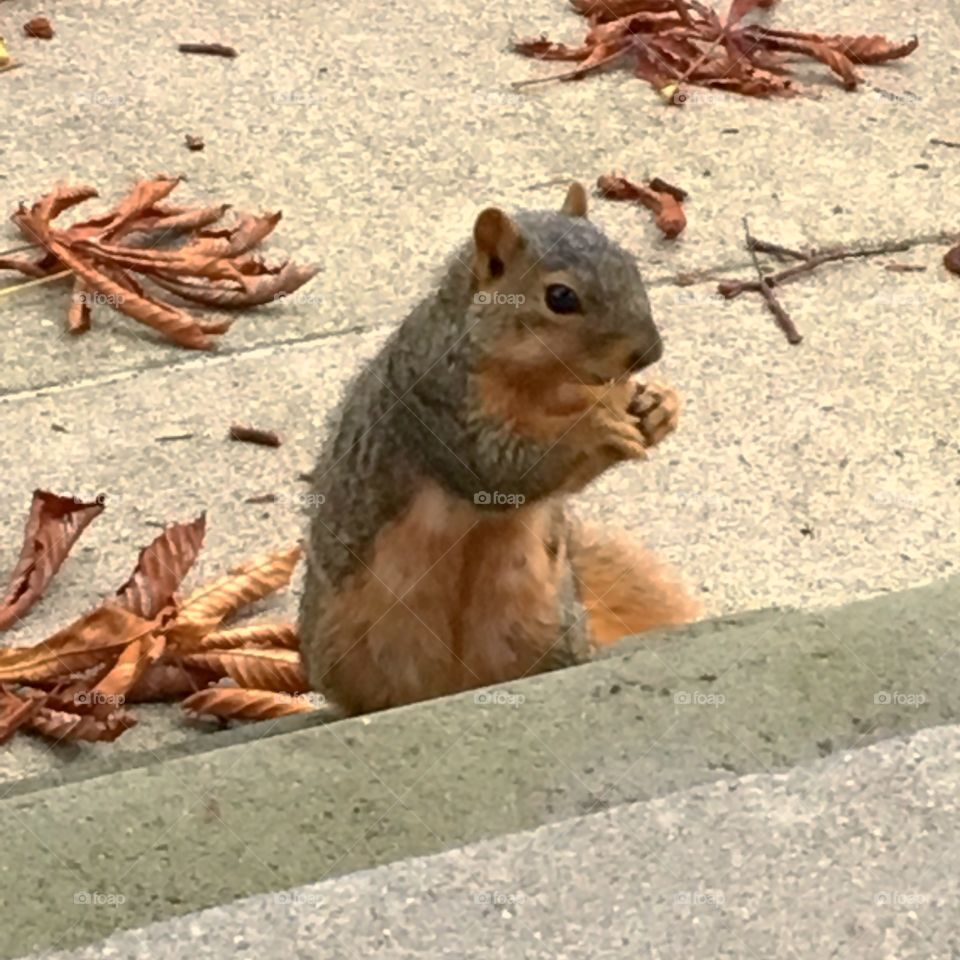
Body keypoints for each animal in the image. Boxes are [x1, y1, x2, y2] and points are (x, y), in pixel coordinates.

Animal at [300, 184, 696, 716]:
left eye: (631, 264)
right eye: (560, 297)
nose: (650, 352)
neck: (538, 381)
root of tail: (457, 680)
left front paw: (658, 404)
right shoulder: (440, 404)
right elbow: (498, 470)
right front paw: (593, 429)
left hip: (544, 621)